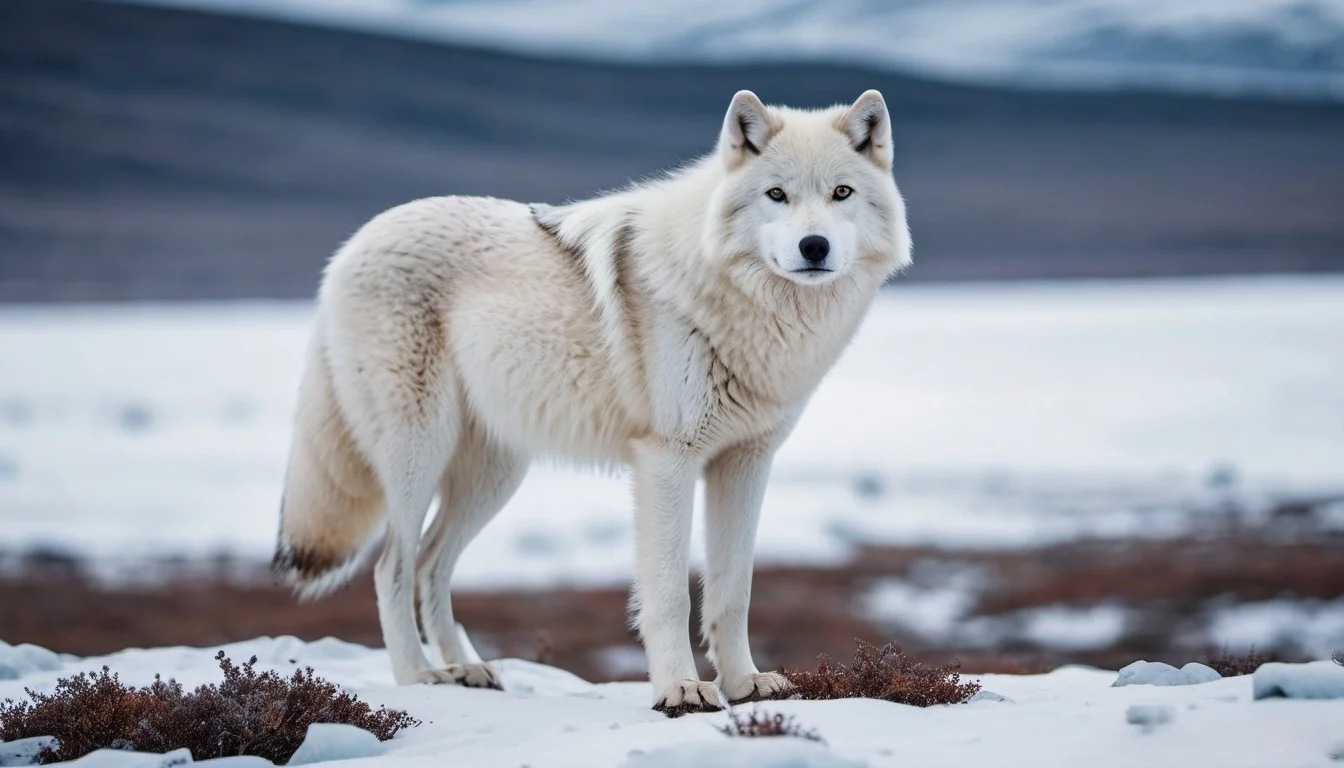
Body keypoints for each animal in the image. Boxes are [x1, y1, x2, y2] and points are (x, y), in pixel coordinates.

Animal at [273, 89, 911, 715]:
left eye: (841, 193)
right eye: (777, 194)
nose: (814, 246)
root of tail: (351, 246)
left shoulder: (746, 463)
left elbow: (734, 592)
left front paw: (745, 684)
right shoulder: (667, 461)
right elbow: (670, 594)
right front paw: (681, 691)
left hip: (494, 476)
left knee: (432, 566)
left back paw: (470, 672)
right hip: (418, 456)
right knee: (392, 568)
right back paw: (420, 679)